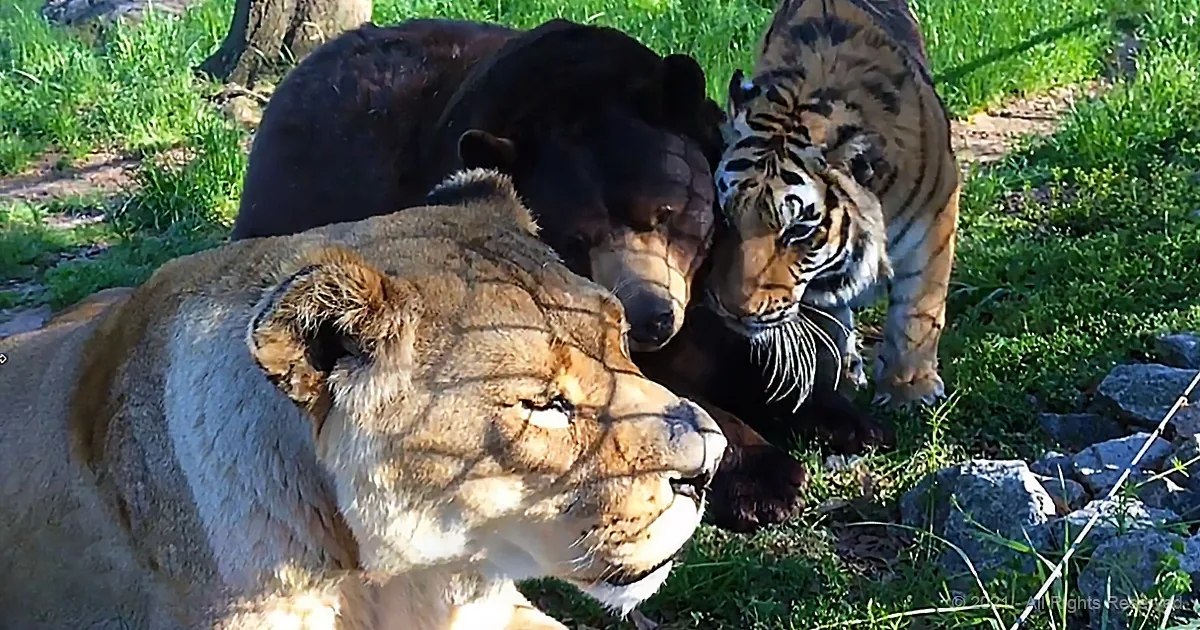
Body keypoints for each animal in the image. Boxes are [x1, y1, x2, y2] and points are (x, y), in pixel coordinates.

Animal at [706, 0, 960, 407]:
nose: (732, 311)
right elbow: (828, 315)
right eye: (726, 215)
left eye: (797, 231)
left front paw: (909, 388)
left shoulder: (935, 214)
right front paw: (839, 380)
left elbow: (918, 306)